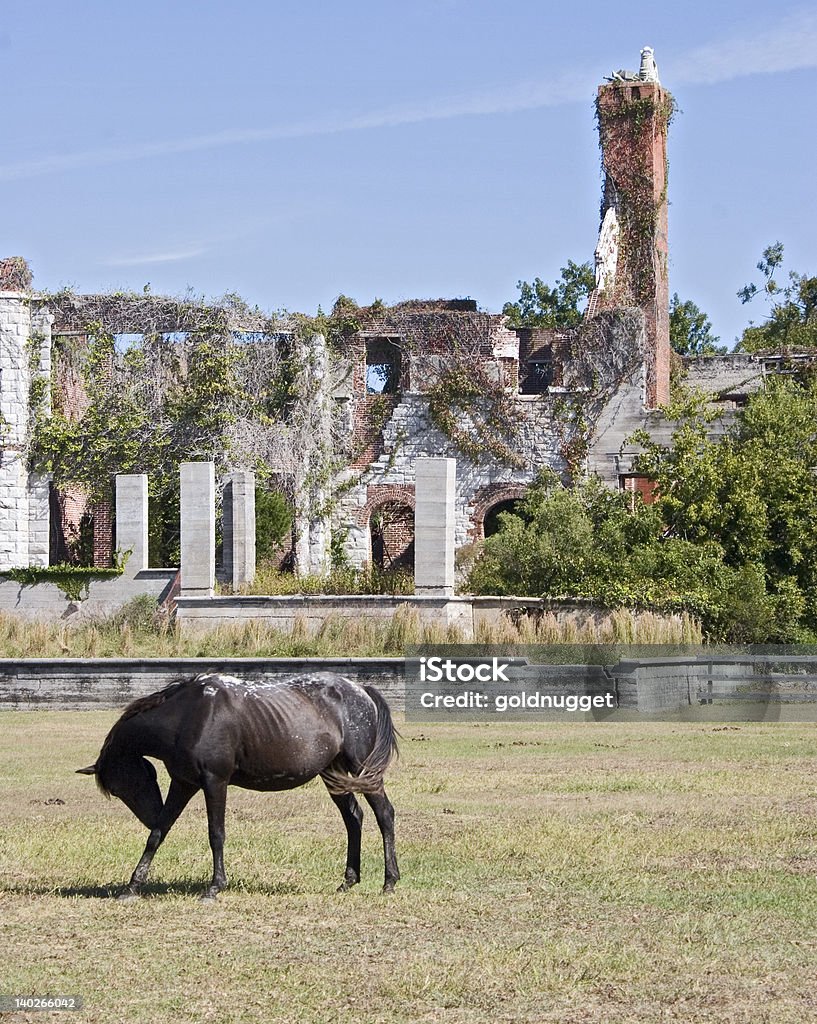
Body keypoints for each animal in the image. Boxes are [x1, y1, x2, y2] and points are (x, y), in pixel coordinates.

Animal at [75, 667, 401, 901]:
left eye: (123, 787)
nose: (148, 815)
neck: (189, 715)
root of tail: (362, 690)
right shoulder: (183, 783)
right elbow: (158, 833)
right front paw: (132, 886)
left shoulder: (214, 782)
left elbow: (216, 834)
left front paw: (214, 887)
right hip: (334, 774)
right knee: (353, 818)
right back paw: (349, 880)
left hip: (362, 769)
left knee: (384, 814)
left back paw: (389, 881)